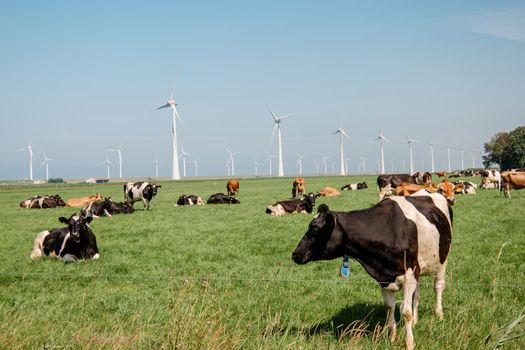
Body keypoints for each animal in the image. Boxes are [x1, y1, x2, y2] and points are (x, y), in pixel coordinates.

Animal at [288, 191, 452, 350]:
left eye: (315, 229)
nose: (295, 254)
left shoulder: (409, 275)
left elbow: (405, 312)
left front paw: (409, 343)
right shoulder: (384, 277)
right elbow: (389, 307)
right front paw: (392, 339)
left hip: (443, 260)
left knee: (438, 286)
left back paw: (439, 315)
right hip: (420, 269)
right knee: (417, 294)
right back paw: (416, 321)